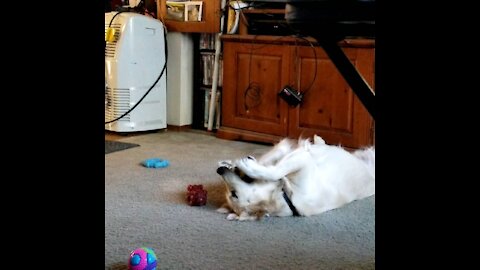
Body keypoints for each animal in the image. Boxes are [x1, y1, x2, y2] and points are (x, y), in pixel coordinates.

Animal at [215, 135, 376, 221]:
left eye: (233, 194)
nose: (219, 170)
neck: (287, 196)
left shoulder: (299, 158)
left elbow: (273, 161)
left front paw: (237, 163)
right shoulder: (303, 161)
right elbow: (275, 169)